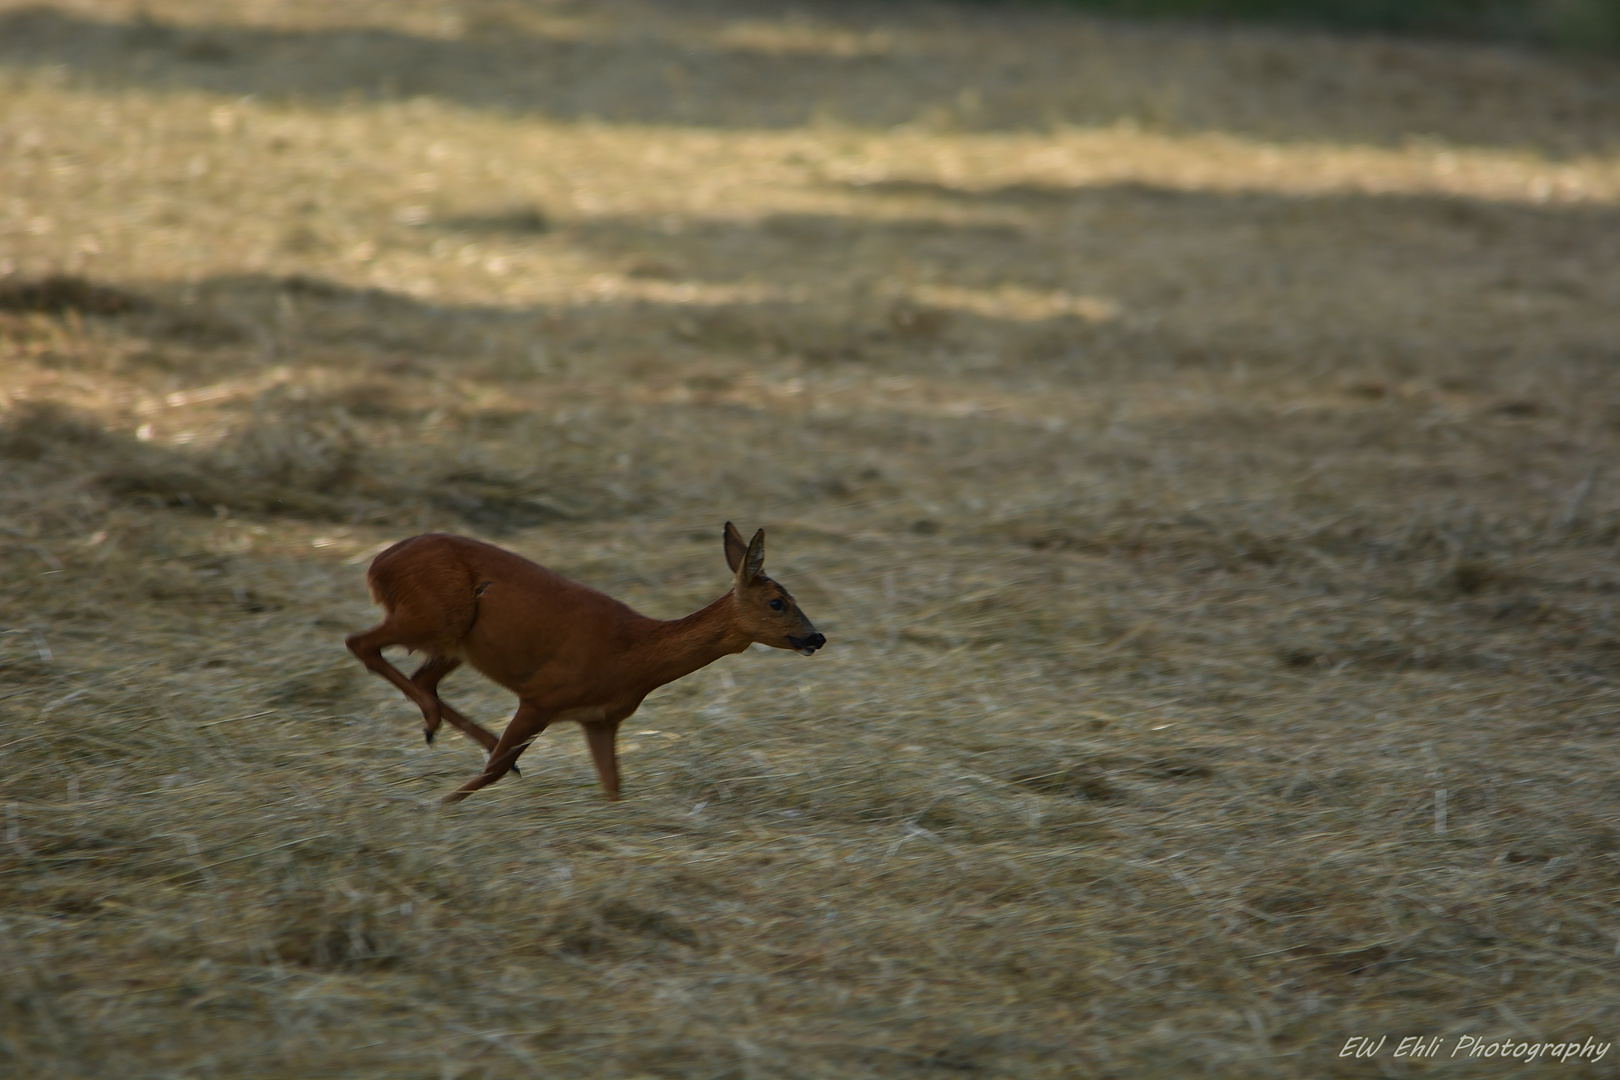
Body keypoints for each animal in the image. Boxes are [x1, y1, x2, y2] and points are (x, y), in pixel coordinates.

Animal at [341, 518, 822, 806]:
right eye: (777, 602)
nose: (816, 637)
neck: (631, 654)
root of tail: (377, 563)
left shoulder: (599, 719)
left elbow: (613, 789)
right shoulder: (542, 695)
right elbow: (494, 771)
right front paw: (438, 804)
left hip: (454, 639)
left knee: (419, 674)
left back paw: (440, 725)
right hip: (438, 615)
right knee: (359, 642)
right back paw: (443, 727)